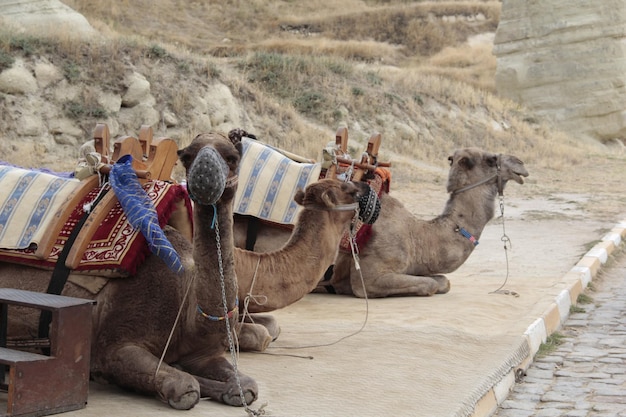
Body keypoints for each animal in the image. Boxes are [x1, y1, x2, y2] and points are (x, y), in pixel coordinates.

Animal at [0, 131, 258, 410]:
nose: (205, 174)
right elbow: (185, 387)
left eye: (232, 157)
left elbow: (246, 386)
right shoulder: (117, 344)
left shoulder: (203, 353)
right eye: (187, 156)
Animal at [234, 146, 528, 296]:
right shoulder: (370, 276)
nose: (521, 164)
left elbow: (442, 281)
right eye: (491, 158)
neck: (417, 236)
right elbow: (432, 285)